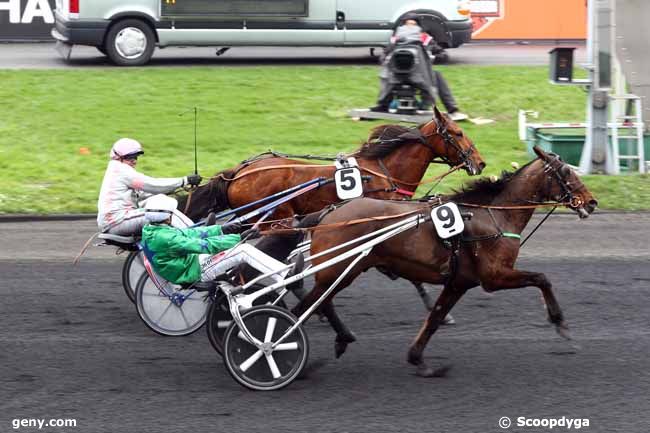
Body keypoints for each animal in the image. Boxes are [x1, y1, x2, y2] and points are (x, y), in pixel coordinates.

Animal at [294, 145, 596, 374]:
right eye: (566, 172)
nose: (591, 201)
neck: (493, 215)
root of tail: (327, 214)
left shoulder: (459, 282)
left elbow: (435, 318)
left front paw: (417, 359)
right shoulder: (494, 277)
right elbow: (542, 278)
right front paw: (560, 323)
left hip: (342, 271)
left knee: (319, 303)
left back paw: (339, 339)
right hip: (339, 270)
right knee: (306, 307)